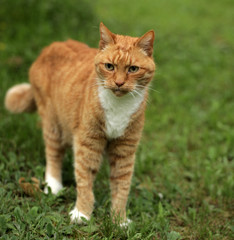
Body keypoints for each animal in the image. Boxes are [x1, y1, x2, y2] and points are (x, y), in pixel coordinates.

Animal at [5, 22, 155, 225]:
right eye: (109, 66)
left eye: (133, 69)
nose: (119, 83)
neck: (118, 106)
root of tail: (49, 47)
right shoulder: (88, 143)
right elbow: (85, 180)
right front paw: (82, 214)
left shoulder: (125, 148)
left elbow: (122, 186)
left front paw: (119, 220)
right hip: (53, 123)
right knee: (53, 154)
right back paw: (53, 185)